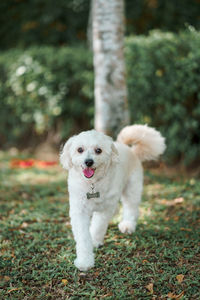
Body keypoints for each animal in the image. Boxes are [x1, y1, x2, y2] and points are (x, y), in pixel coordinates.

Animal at [59, 124, 166, 272]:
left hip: (132, 189)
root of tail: (130, 149)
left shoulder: (105, 209)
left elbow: (98, 226)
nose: (88, 162)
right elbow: (83, 237)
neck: (92, 184)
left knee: (131, 208)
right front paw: (85, 261)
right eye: (79, 149)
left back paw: (127, 225)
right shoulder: (79, 211)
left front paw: (94, 241)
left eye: (98, 150)